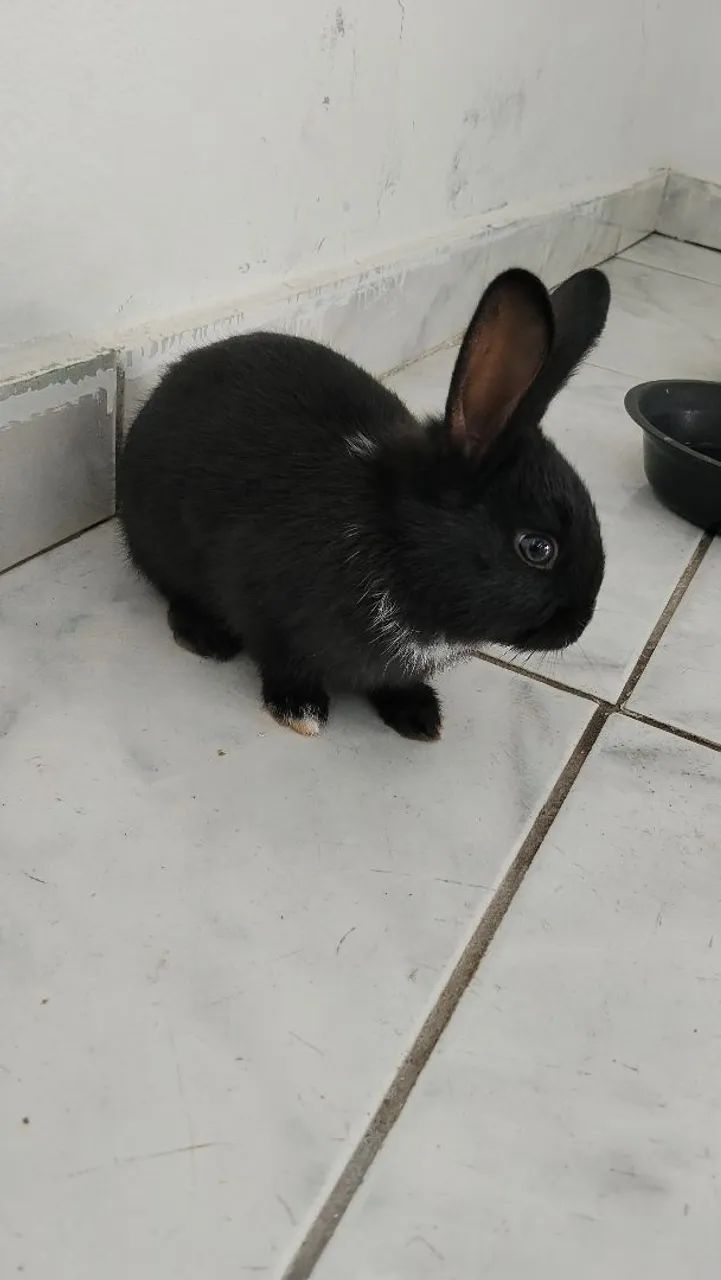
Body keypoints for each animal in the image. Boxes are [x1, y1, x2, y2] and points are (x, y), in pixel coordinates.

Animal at [118, 265, 609, 742]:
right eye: (537, 548)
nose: (579, 625)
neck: (398, 540)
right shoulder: (260, 605)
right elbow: (282, 660)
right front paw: (300, 710)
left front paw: (419, 715)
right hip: (156, 540)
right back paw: (206, 637)